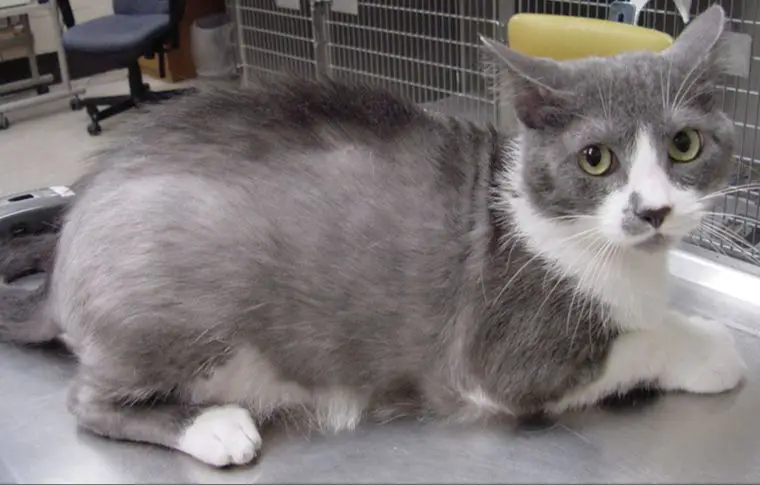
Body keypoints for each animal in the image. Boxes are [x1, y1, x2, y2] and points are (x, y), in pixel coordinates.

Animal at [0, 2, 748, 466]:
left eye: (684, 145)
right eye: (596, 158)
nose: (653, 211)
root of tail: (65, 249)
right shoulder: (502, 357)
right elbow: (634, 345)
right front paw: (712, 352)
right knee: (88, 401)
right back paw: (214, 428)